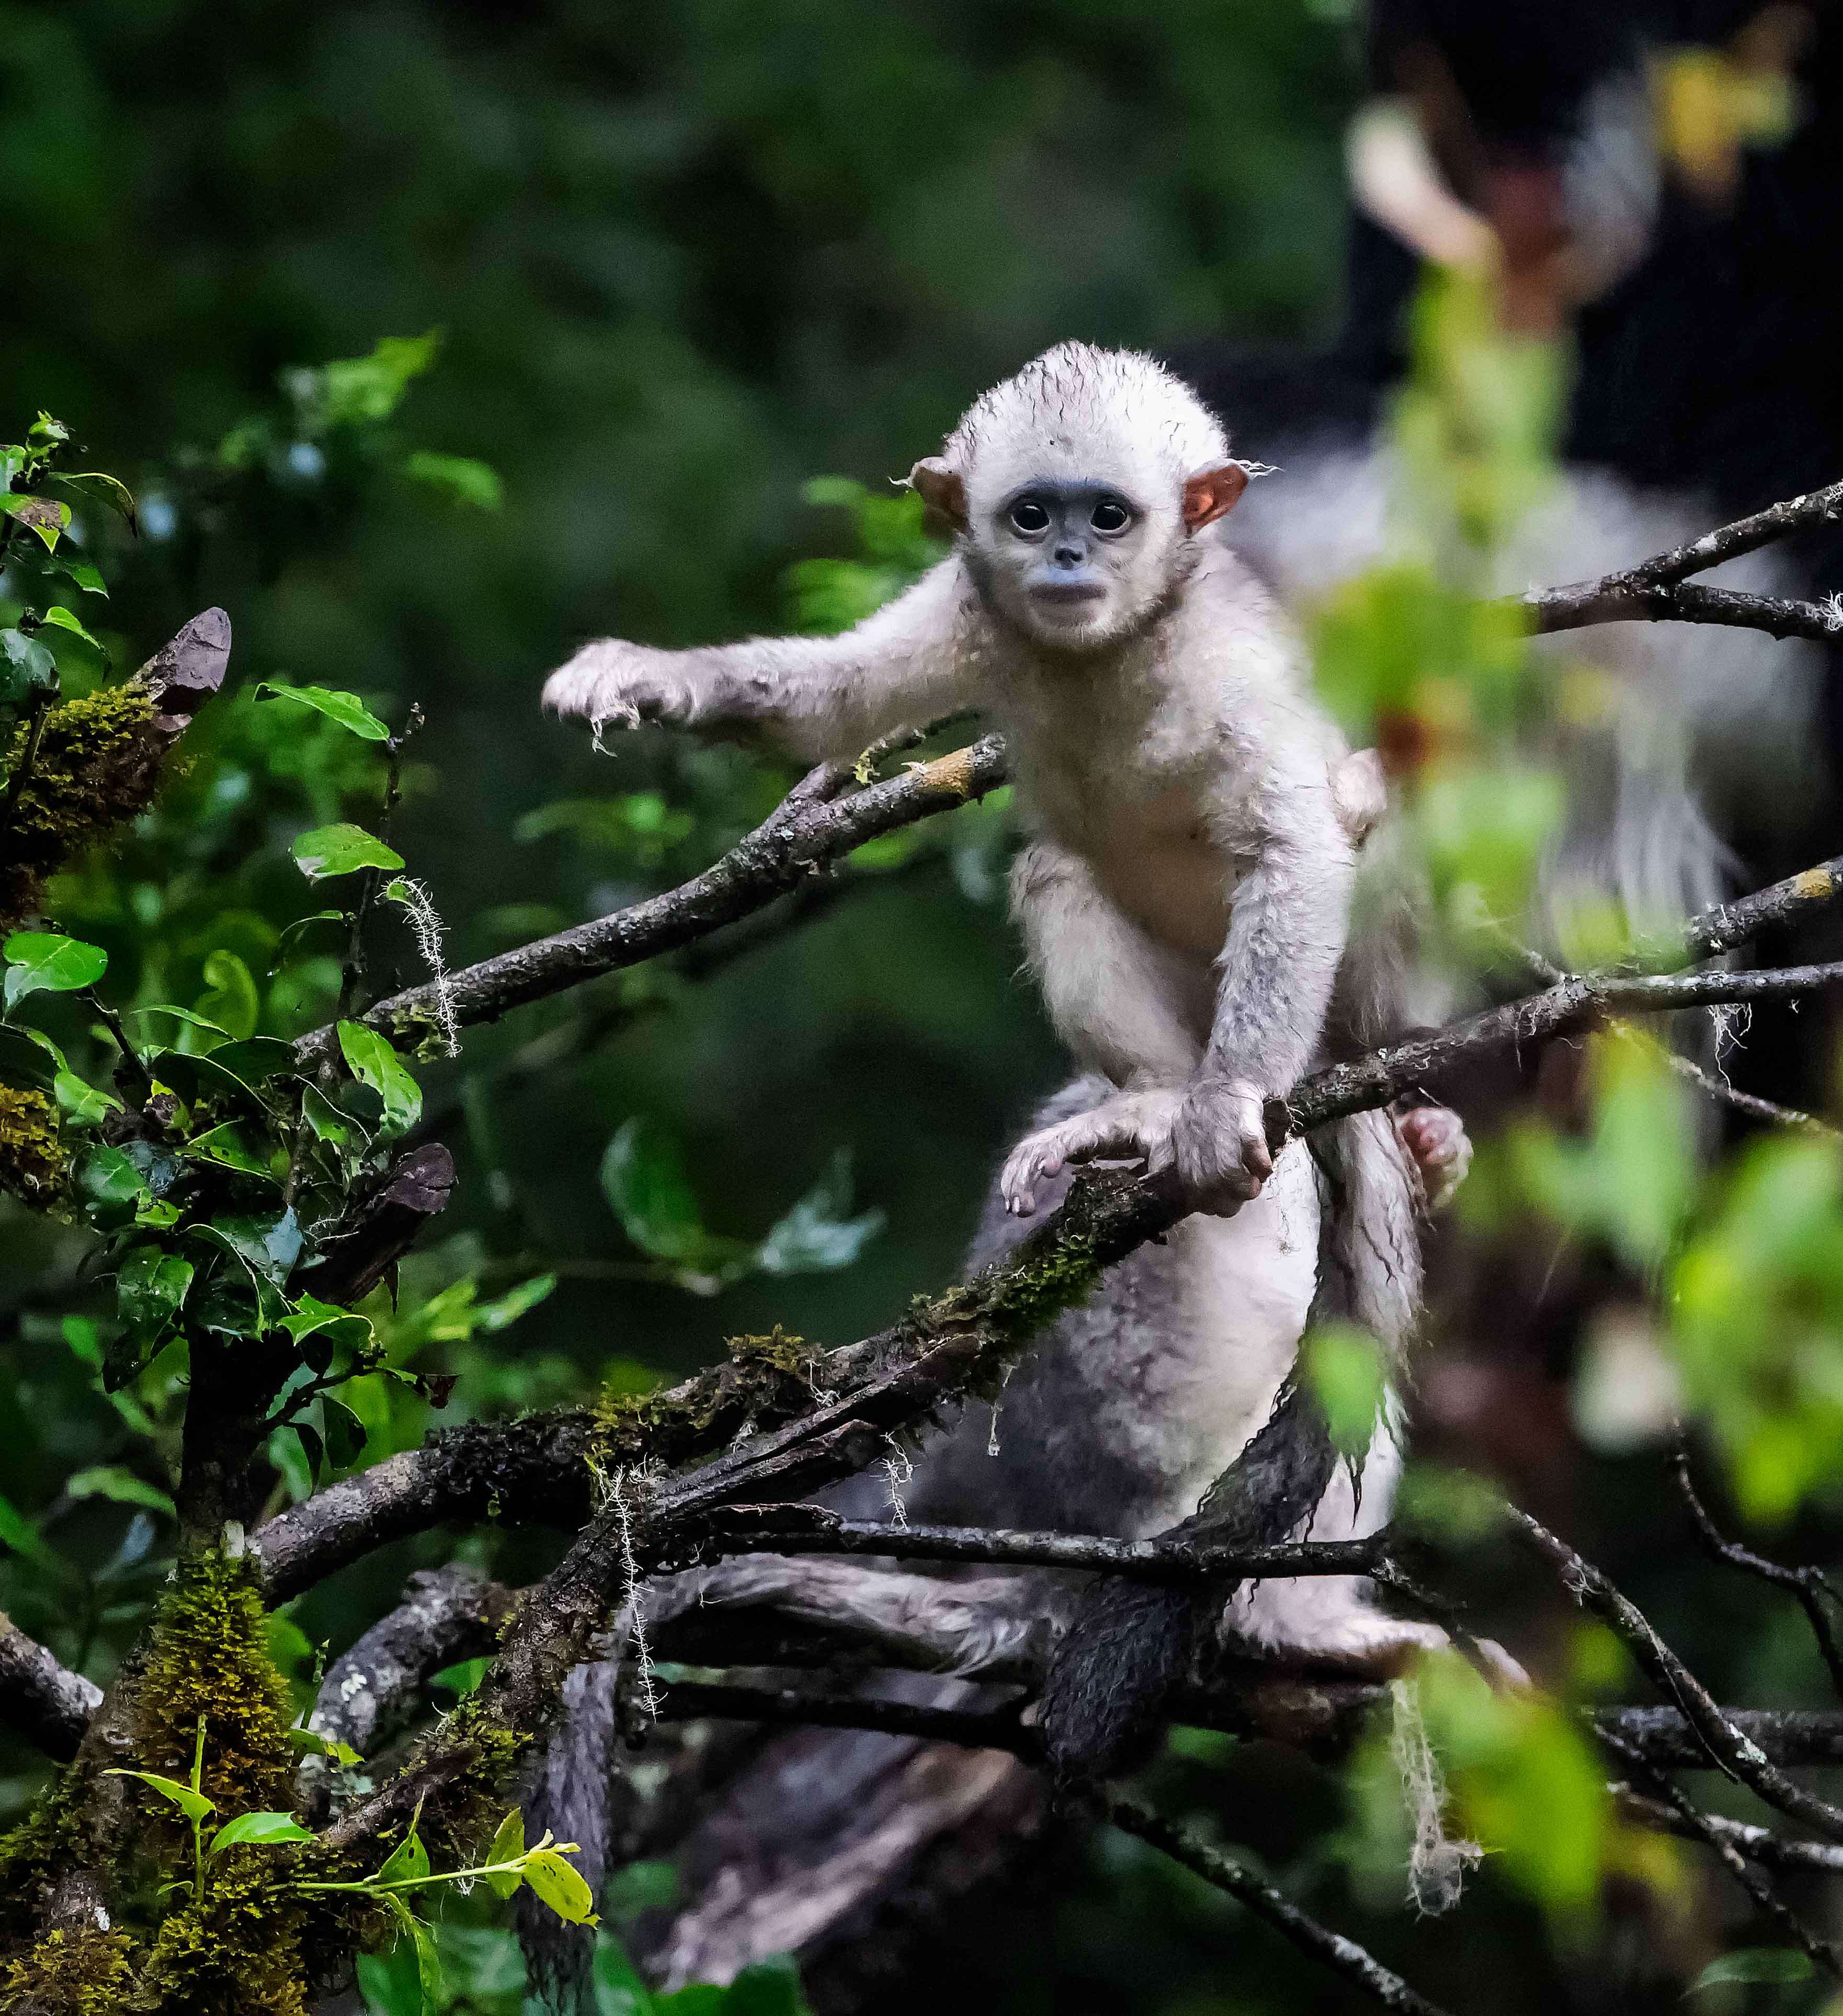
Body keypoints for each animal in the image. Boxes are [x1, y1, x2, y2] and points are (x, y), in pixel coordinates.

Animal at [544, 343, 1379, 1209]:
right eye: (1032, 516)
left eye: (1108, 517)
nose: (1068, 558)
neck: (1109, 647)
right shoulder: (970, 609)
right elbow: (834, 701)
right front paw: (646, 676)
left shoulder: (1233, 663)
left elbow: (1296, 846)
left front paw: (1227, 1104)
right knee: (1055, 871)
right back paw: (1152, 1100)